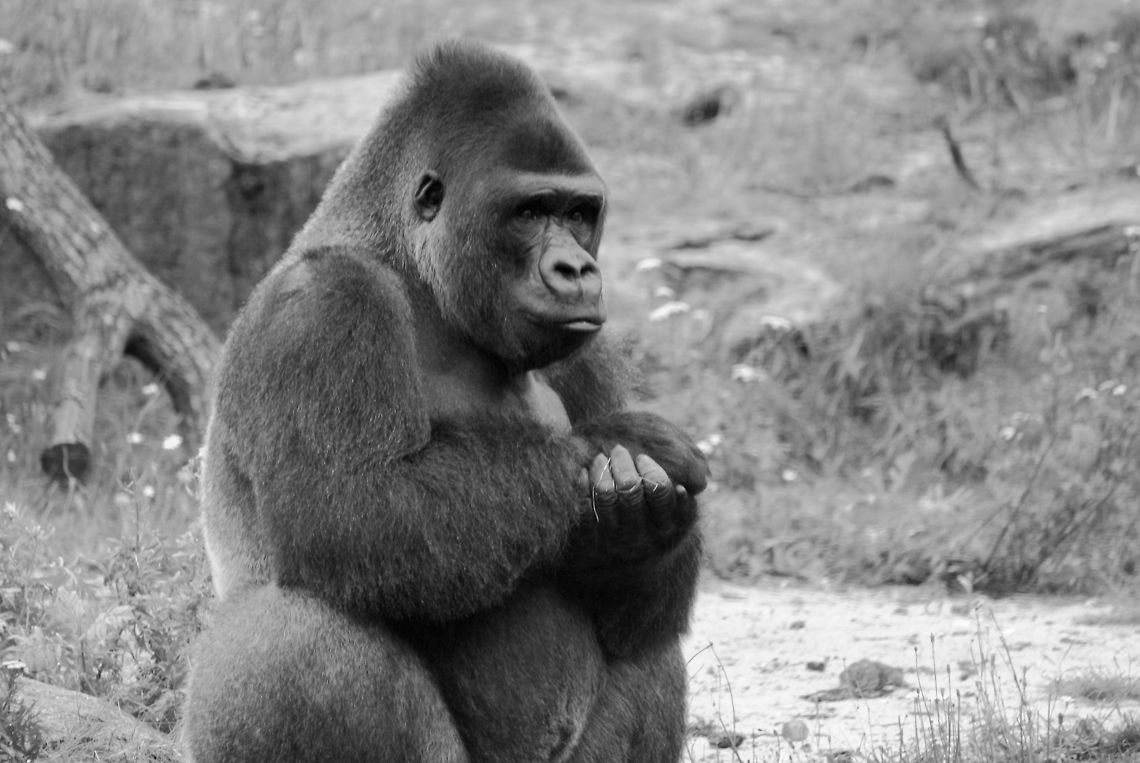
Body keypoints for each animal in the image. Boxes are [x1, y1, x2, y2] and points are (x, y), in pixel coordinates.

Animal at [183, 39, 707, 763]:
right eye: (529, 211)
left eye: (579, 213)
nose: (577, 269)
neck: (417, 272)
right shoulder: (322, 304)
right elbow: (358, 510)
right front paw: (631, 447)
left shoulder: (584, 350)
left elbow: (640, 602)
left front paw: (641, 518)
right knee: (294, 644)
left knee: (650, 647)